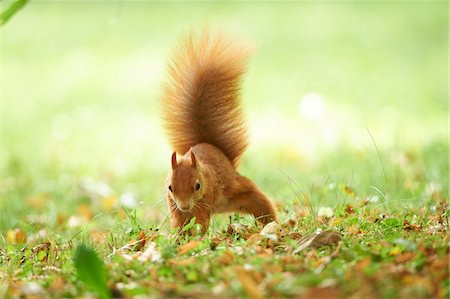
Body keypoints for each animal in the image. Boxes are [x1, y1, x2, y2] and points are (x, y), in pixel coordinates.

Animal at [160, 30, 276, 233]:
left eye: (197, 186)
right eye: (170, 187)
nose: (184, 206)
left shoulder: (206, 198)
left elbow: (200, 221)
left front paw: (194, 237)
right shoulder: (172, 204)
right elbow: (177, 221)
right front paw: (176, 237)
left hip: (243, 193)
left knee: (263, 206)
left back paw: (272, 225)